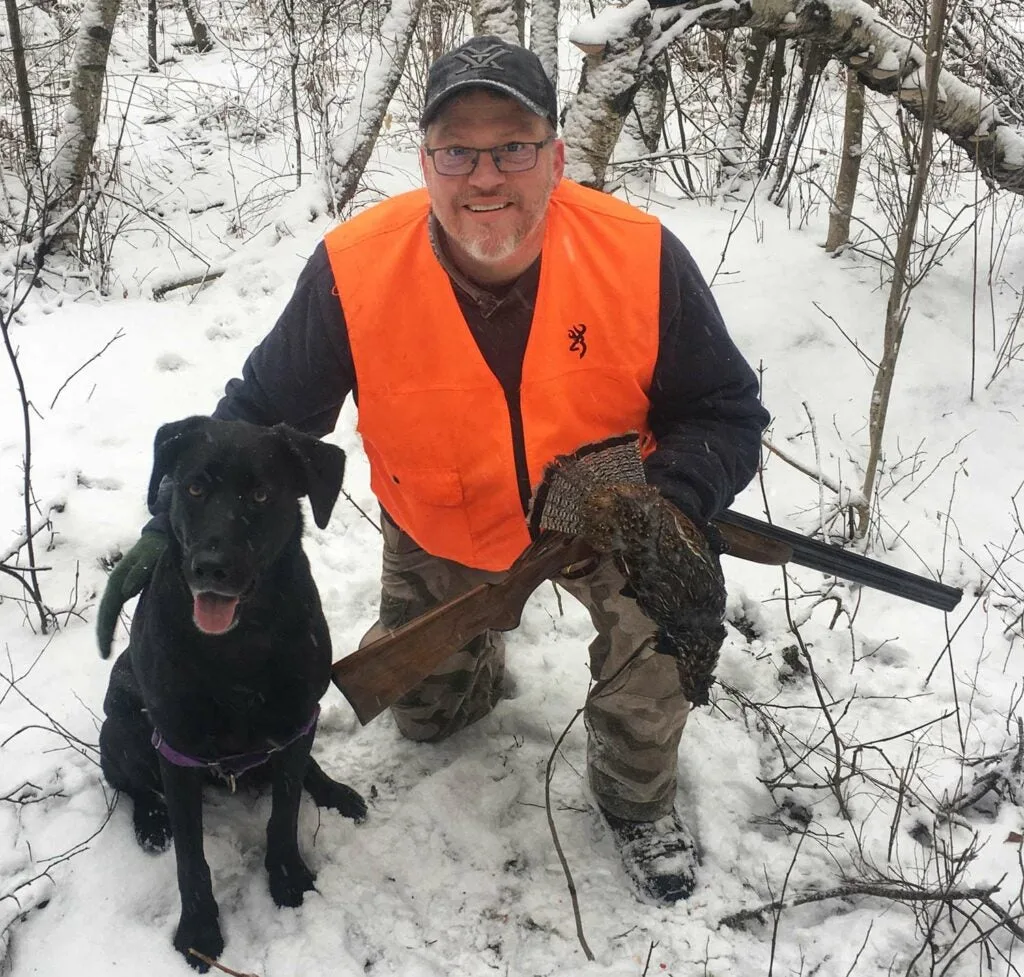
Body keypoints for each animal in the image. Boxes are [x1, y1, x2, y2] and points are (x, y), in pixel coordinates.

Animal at [96, 415, 368, 970]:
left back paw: (336, 792)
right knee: (130, 783)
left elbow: (283, 818)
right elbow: (191, 859)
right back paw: (151, 822)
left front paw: (288, 880)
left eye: (261, 495)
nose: (211, 567)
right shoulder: (176, 750)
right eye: (195, 487)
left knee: (306, 770)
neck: (237, 646)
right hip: (119, 726)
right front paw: (198, 931)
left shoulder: (295, 723)